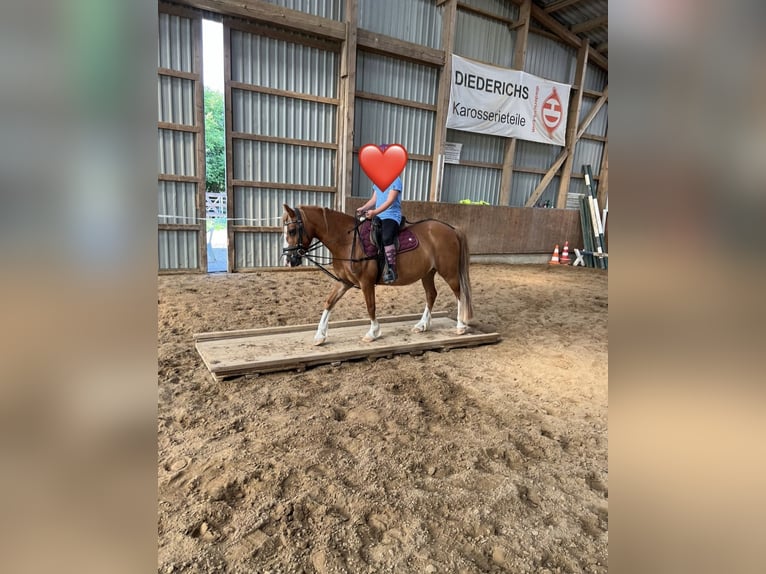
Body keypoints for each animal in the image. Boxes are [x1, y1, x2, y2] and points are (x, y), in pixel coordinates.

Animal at [282, 205, 474, 344]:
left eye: (291, 231)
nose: (289, 260)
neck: (347, 240)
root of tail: (451, 228)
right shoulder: (344, 282)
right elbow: (329, 302)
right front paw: (320, 336)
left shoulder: (366, 282)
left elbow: (370, 306)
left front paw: (373, 332)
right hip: (427, 273)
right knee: (431, 294)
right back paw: (422, 325)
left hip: (448, 272)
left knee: (459, 294)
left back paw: (460, 325)